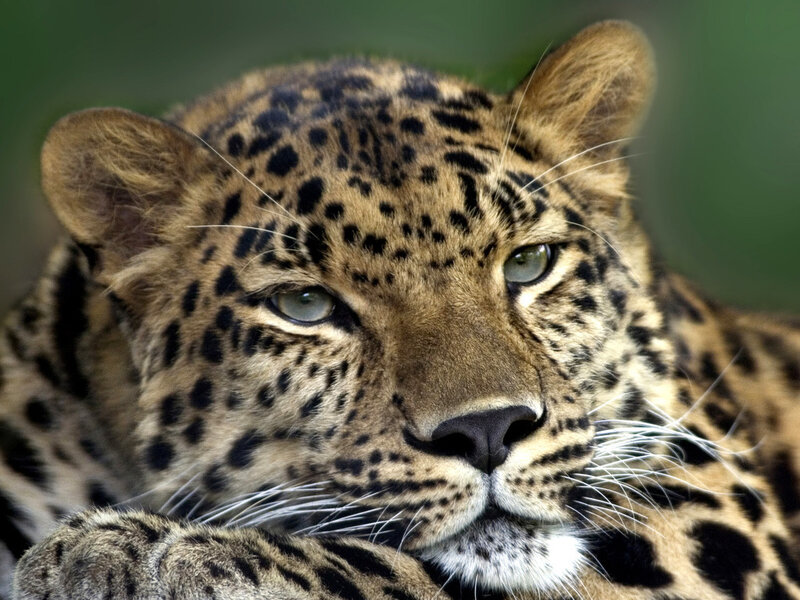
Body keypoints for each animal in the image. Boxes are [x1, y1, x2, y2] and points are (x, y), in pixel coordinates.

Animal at [2, 19, 800, 600]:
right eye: (305, 304)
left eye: (529, 263)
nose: (488, 431)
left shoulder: (711, 505)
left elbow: (391, 567)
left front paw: (137, 551)